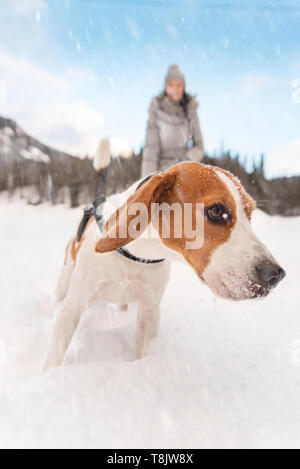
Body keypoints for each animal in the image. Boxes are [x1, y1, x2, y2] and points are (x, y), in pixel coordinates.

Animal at [44, 163, 286, 372]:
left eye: (250, 213)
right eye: (216, 211)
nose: (276, 275)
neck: (139, 256)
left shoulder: (149, 310)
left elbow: (141, 350)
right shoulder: (73, 307)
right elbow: (55, 355)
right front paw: (48, 376)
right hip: (64, 281)